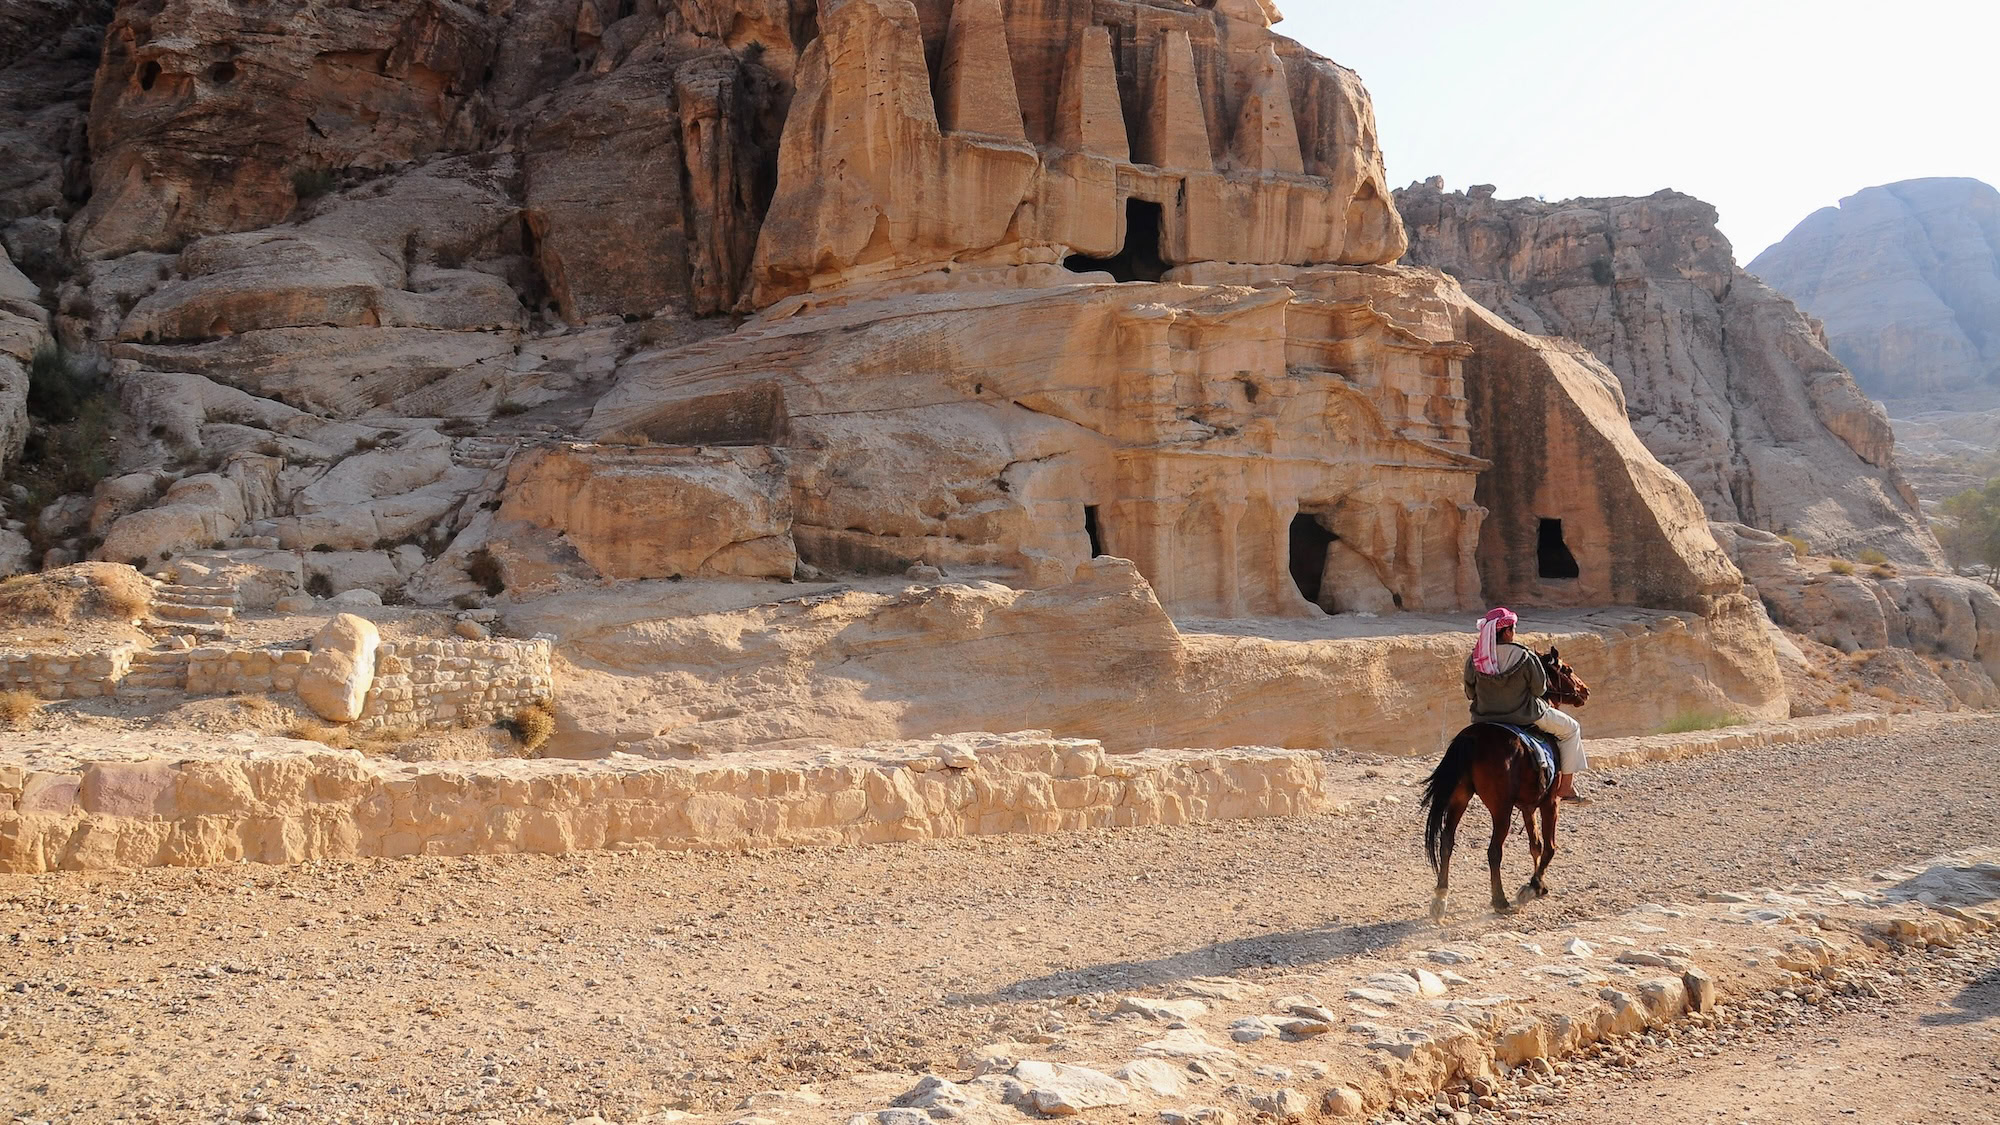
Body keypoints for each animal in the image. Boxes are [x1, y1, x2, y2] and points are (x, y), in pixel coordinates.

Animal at [1419, 647, 1590, 920]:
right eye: (1568, 669)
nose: (1585, 691)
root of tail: (1473, 738)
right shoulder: (1550, 802)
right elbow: (1549, 846)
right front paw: (1531, 887)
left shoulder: (1528, 806)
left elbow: (1535, 844)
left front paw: (1540, 885)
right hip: (1501, 809)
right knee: (1493, 851)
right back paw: (1500, 900)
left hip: (1459, 798)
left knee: (1446, 841)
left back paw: (1440, 898)